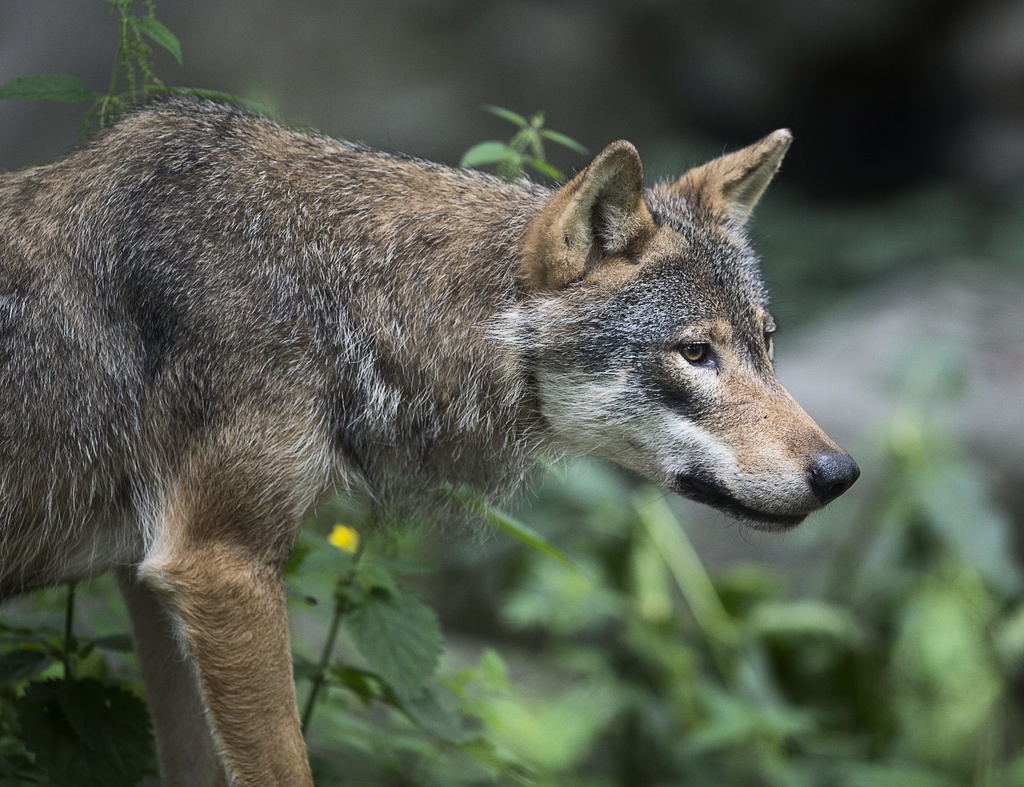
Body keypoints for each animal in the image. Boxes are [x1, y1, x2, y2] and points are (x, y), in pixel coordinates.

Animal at [2, 99, 856, 785]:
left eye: (766, 343)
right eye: (695, 353)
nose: (840, 472)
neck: (339, 293)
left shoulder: (152, 577)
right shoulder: (218, 564)